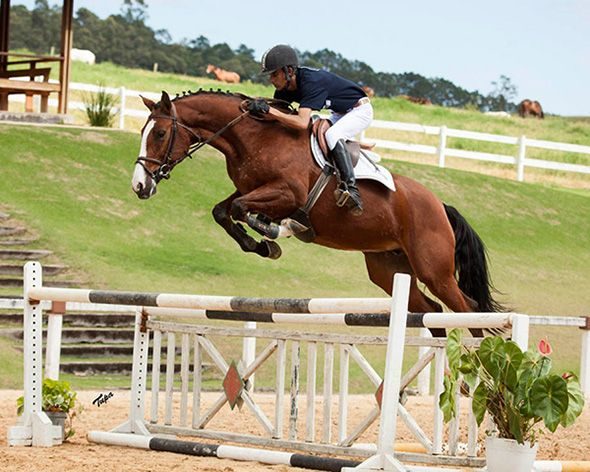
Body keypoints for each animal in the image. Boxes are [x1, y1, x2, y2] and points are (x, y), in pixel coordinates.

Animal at [133, 90, 504, 338]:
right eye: (143, 133)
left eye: (161, 133)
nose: (139, 185)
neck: (252, 137)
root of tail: (440, 205)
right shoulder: (250, 190)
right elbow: (223, 211)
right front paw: (261, 244)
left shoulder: (287, 193)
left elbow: (243, 211)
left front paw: (275, 233)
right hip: (389, 269)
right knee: (433, 313)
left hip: (434, 270)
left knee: (468, 312)